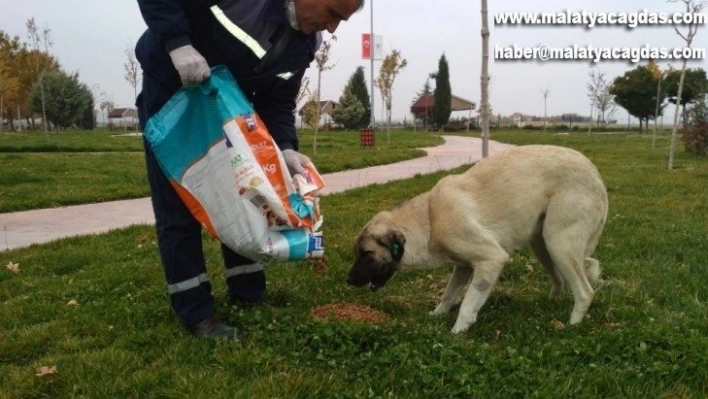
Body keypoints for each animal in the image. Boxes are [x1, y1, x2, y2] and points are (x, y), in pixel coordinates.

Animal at [348, 145, 608, 332]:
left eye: (366, 255)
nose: (348, 282)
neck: (430, 218)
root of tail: (597, 176)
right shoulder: (463, 266)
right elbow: (449, 294)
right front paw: (437, 315)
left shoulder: (490, 260)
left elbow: (467, 303)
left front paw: (457, 332)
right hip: (543, 245)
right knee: (560, 281)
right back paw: (548, 305)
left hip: (559, 245)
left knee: (585, 292)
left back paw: (571, 327)